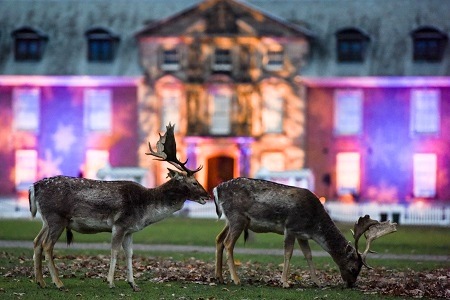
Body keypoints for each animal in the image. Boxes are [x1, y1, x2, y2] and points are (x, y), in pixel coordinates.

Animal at [29, 122, 209, 290]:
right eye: (194, 182)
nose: (207, 195)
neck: (146, 210)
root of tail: (35, 187)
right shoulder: (119, 224)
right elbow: (114, 251)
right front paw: (110, 282)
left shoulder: (130, 230)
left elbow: (129, 254)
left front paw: (133, 284)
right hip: (57, 217)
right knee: (47, 245)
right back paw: (58, 283)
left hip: (46, 220)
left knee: (37, 241)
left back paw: (40, 281)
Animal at [213, 178, 396, 288]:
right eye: (353, 268)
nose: (351, 284)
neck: (314, 226)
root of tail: (217, 189)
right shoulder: (291, 227)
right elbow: (288, 253)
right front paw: (285, 282)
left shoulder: (303, 235)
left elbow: (308, 255)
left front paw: (318, 282)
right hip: (237, 218)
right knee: (228, 243)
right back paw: (236, 279)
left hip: (231, 220)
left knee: (219, 239)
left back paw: (219, 277)